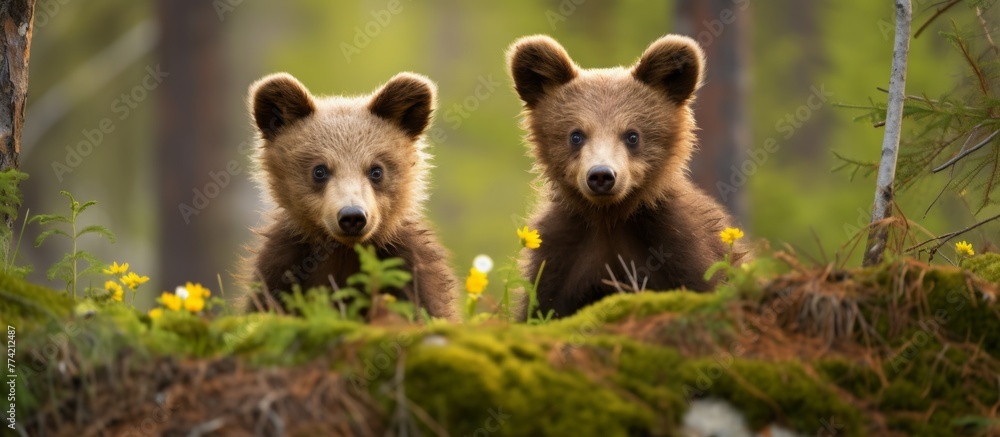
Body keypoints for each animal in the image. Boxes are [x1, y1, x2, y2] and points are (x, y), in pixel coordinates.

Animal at [243, 72, 457, 320]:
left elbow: (427, 309)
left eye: (376, 170)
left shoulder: (409, 270)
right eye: (319, 170)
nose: (352, 216)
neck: (344, 251)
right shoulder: (283, 268)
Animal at [507, 35, 748, 320]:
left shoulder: (678, 245)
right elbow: (541, 307)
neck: (610, 216)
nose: (601, 175)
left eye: (632, 135)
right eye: (576, 135)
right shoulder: (563, 255)